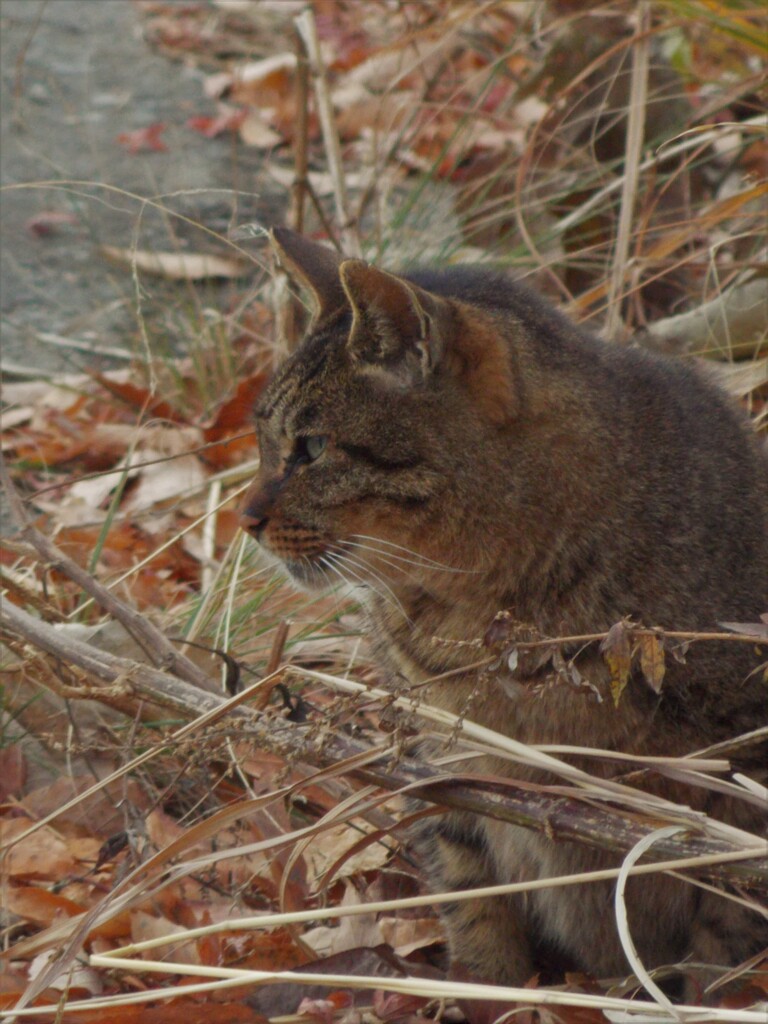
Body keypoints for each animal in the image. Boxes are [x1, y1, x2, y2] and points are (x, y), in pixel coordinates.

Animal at [240, 230, 768, 999]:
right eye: (263, 442)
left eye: (309, 447)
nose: (243, 518)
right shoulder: (444, 761)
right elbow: (471, 900)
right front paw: (486, 988)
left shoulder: (741, 764)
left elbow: (723, 929)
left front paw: (704, 996)